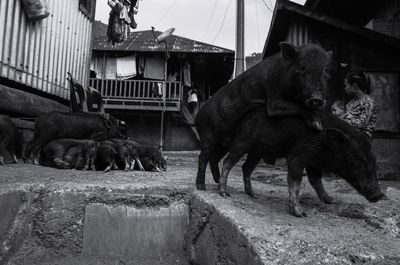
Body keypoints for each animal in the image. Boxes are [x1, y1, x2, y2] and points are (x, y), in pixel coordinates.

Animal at [195, 41, 332, 190]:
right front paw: (317, 125)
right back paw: (201, 186)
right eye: (302, 68)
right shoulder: (273, 98)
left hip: (224, 142)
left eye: (325, 71)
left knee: (214, 158)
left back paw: (216, 180)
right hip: (207, 134)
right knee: (203, 156)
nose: (317, 98)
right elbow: (290, 106)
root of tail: (198, 115)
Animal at [219, 108, 384, 217]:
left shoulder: (314, 163)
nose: (379, 195)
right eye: (358, 158)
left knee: (246, 168)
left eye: (374, 161)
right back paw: (225, 193)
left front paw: (331, 200)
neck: (324, 144)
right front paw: (301, 214)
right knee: (227, 162)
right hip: (242, 141)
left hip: (256, 152)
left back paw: (254, 195)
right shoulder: (298, 156)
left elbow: (316, 180)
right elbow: (296, 181)